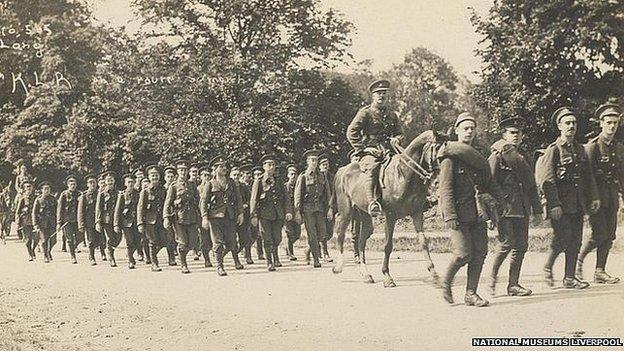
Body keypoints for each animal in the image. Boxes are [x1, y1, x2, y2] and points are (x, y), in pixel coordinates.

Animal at [332, 131, 444, 288]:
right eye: (437, 150)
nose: (438, 181)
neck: (403, 174)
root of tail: (342, 170)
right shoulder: (390, 216)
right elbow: (388, 245)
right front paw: (387, 277)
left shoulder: (417, 214)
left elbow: (423, 242)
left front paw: (434, 275)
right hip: (346, 212)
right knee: (341, 235)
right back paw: (338, 267)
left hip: (364, 215)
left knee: (361, 241)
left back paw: (366, 274)